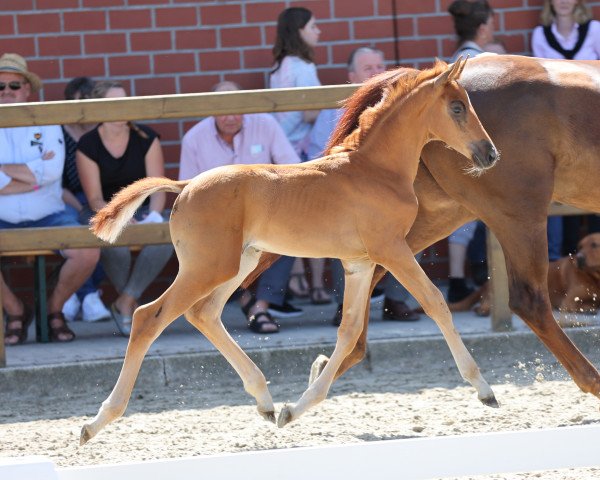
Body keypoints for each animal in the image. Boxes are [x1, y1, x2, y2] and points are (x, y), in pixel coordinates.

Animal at [82, 59, 500, 442]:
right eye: (457, 107)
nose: (490, 154)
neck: (376, 171)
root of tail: (184, 186)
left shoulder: (359, 263)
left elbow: (349, 329)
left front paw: (293, 410)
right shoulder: (392, 250)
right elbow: (435, 303)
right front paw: (485, 391)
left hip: (237, 263)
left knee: (204, 314)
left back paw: (265, 401)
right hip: (207, 267)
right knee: (148, 317)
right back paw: (96, 422)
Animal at [251, 54, 600, 406]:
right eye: (457, 108)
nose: (490, 153)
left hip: (426, 220)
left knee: (369, 283)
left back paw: (324, 373)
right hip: (517, 213)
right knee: (530, 300)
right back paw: (591, 381)